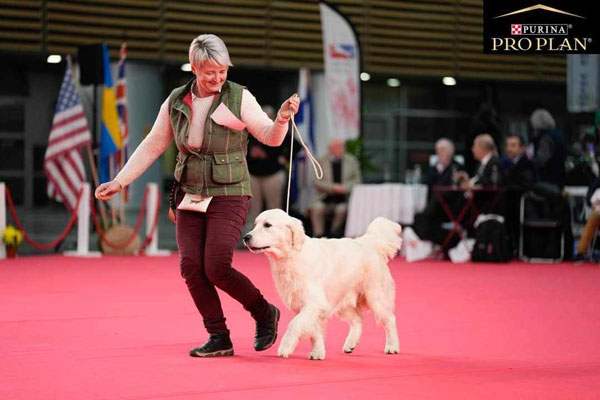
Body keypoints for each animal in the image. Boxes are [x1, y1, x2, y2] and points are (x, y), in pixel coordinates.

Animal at [241, 209, 400, 360]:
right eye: (255, 224)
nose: (246, 237)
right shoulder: (314, 307)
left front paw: (286, 346)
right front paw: (317, 353)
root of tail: (368, 241)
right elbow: (315, 332)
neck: (292, 256)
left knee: (390, 320)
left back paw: (392, 346)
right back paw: (350, 344)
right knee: (358, 320)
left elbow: (294, 324)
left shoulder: (314, 303)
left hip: (376, 298)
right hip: (342, 301)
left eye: (267, 225)